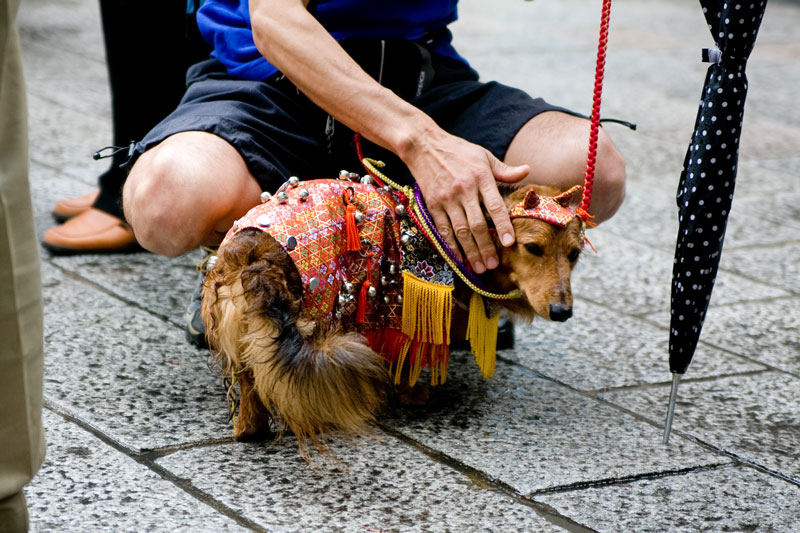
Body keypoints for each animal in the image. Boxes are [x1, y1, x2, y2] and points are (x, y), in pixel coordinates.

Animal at [203, 178, 584, 448]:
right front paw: (413, 396)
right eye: (533, 248)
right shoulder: (405, 319)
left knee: (251, 387)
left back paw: (248, 429)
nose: (563, 311)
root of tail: (254, 252)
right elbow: (408, 366)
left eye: (575, 254)